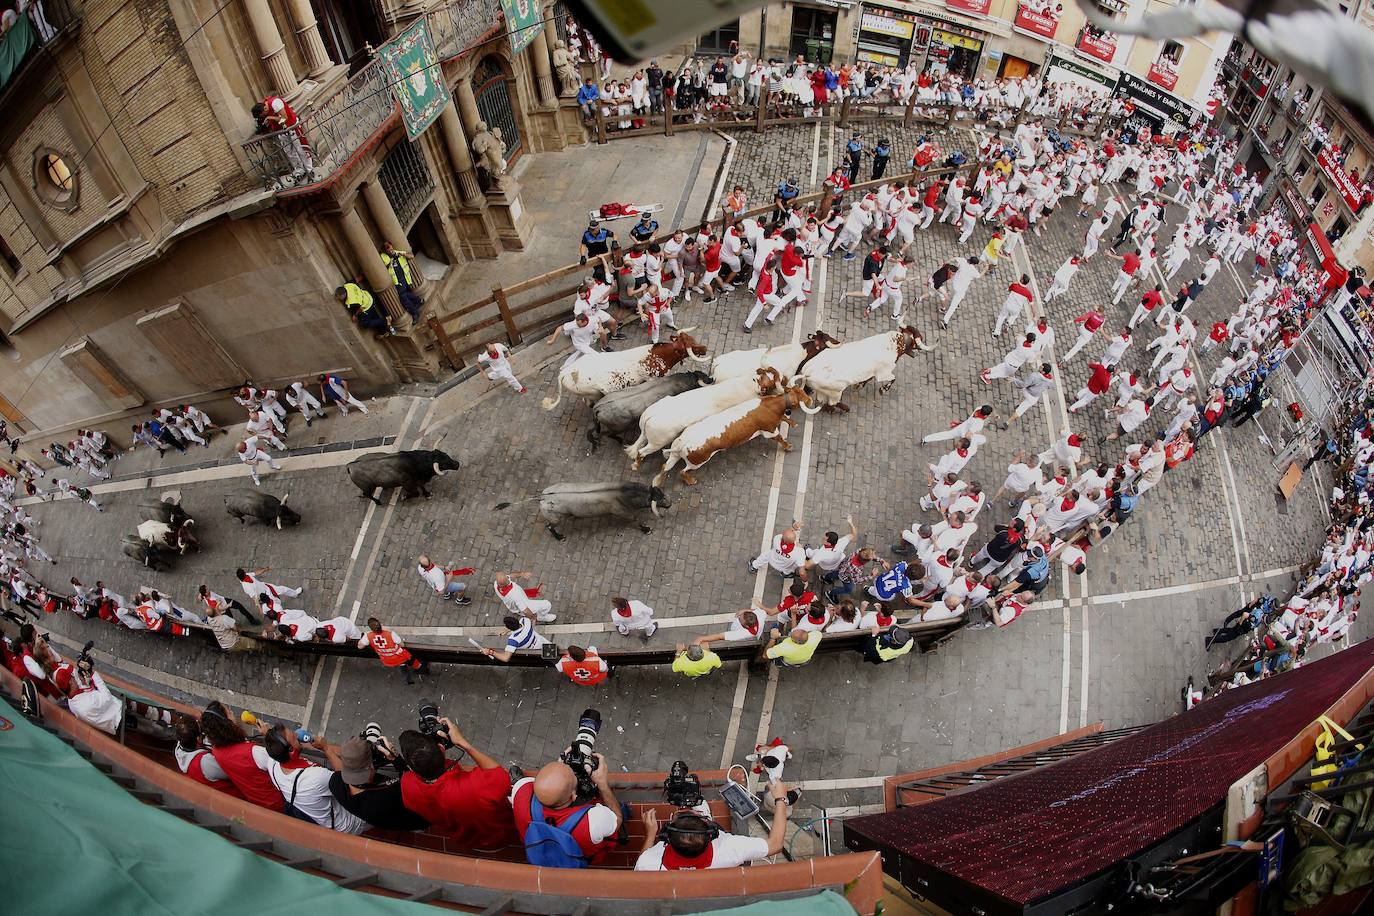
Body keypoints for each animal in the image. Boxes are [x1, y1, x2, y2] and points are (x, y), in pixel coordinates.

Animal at [538, 329, 708, 411]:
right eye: (691, 346)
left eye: (692, 338)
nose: (705, 348)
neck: (657, 355)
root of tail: (565, 372)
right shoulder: (651, 379)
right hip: (595, 392)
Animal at [626, 365, 780, 469]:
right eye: (771, 381)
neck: (748, 383)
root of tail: (649, 416)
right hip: (657, 443)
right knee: (641, 451)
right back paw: (636, 465)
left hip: (647, 436)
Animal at [651, 384, 813, 486]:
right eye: (802, 399)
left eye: (802, 391)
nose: (811, 399)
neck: (770, 406)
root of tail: (683, 442)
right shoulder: (769, 430)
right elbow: (780, 438)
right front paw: (788, 446)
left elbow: (784, 418)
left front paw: (792, 422)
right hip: (697, 461)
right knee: (682, 471)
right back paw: (691, 481)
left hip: (675, 455)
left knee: (666, 466)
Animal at [791, 325, 928, 411]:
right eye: (914, 341)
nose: (919, 351)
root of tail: (808, 371)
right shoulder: (883, 373)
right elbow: (891, 379)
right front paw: (883, 389)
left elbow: (867, 379)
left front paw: (860, 384)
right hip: (836, 390)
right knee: (831, 403)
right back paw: (844, 409)